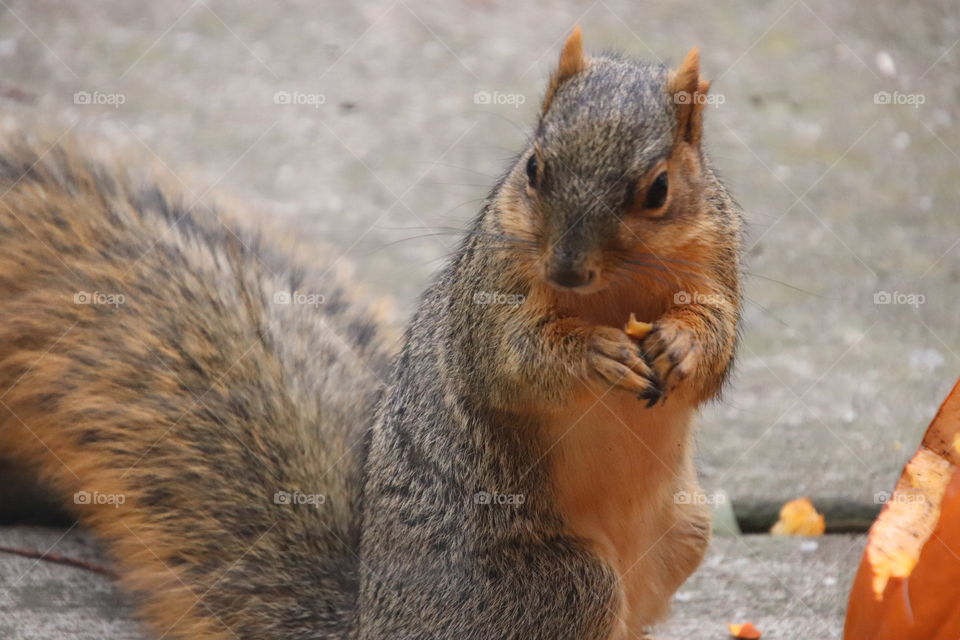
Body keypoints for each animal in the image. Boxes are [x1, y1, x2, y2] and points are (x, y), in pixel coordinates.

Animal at [0, 26, 744, 640]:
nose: (565, 268)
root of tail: (372, 624)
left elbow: (720, 341)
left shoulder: (717, 262)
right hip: (559, 586)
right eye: (533, 168)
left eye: (657, 189)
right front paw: (594, 352)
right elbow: (509, 361)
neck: (614, 293)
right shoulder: (486, 295)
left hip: (686, 533)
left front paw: (681, 345)